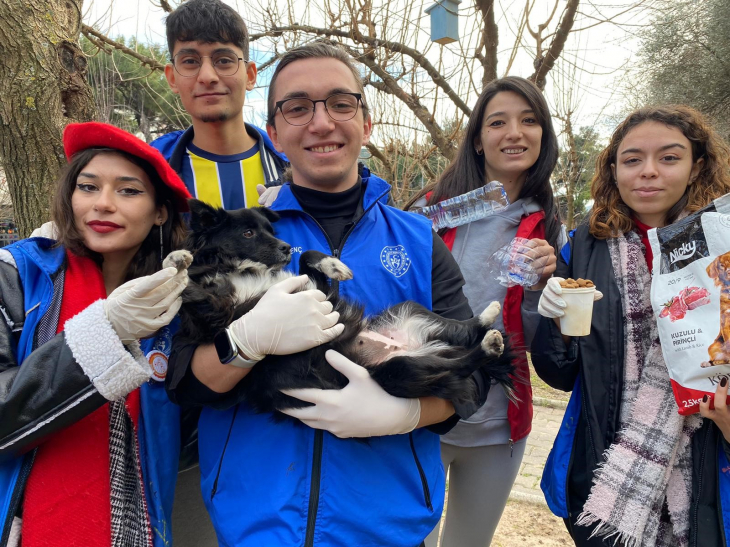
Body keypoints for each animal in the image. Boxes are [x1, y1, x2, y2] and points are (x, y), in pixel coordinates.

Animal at [167, 200, 516, 416]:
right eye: (248, 233)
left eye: (269, 230)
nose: (285, 247)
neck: (240, 270)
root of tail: (416, 346)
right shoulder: (219, 315)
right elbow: (190, 292)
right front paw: (174, 264)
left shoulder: (316, 291)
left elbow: (309, 257)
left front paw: (334, 265)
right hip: (399, 371)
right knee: (462, 365)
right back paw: (488, 344)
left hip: (411, 311)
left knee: (462, 333)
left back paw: (486, 320)